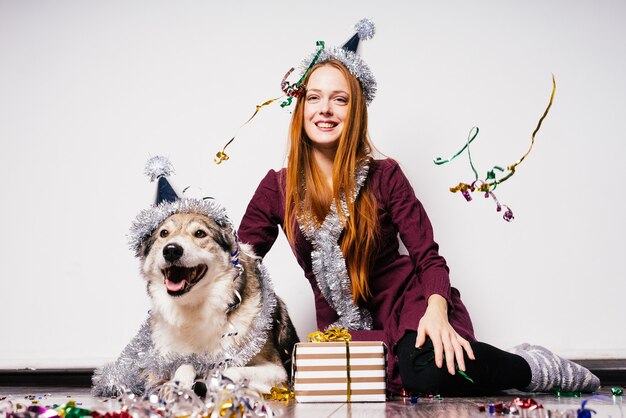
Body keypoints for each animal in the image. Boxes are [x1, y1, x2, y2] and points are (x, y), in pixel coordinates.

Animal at [91, 193, 300, 396]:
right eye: (164, 233)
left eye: (200, 233)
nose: (171, 250)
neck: (194, 307)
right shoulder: (164, 365)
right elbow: (184, 364)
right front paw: (178, 385)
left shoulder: (277, 370)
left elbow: (229, 368)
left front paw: (211, 381)